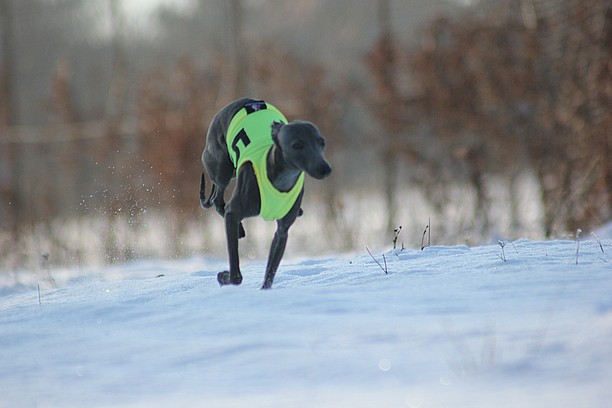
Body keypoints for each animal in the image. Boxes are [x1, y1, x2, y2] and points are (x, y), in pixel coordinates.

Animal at [201, 98, 332, 288]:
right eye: (297, 145)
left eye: (322, 143)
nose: (325, 169)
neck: (280, 180)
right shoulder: (233, 213)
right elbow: (236, 274)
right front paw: (225, 277)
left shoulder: (282, 231)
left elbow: (270, 271)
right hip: (222, 167)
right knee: (217, 198)